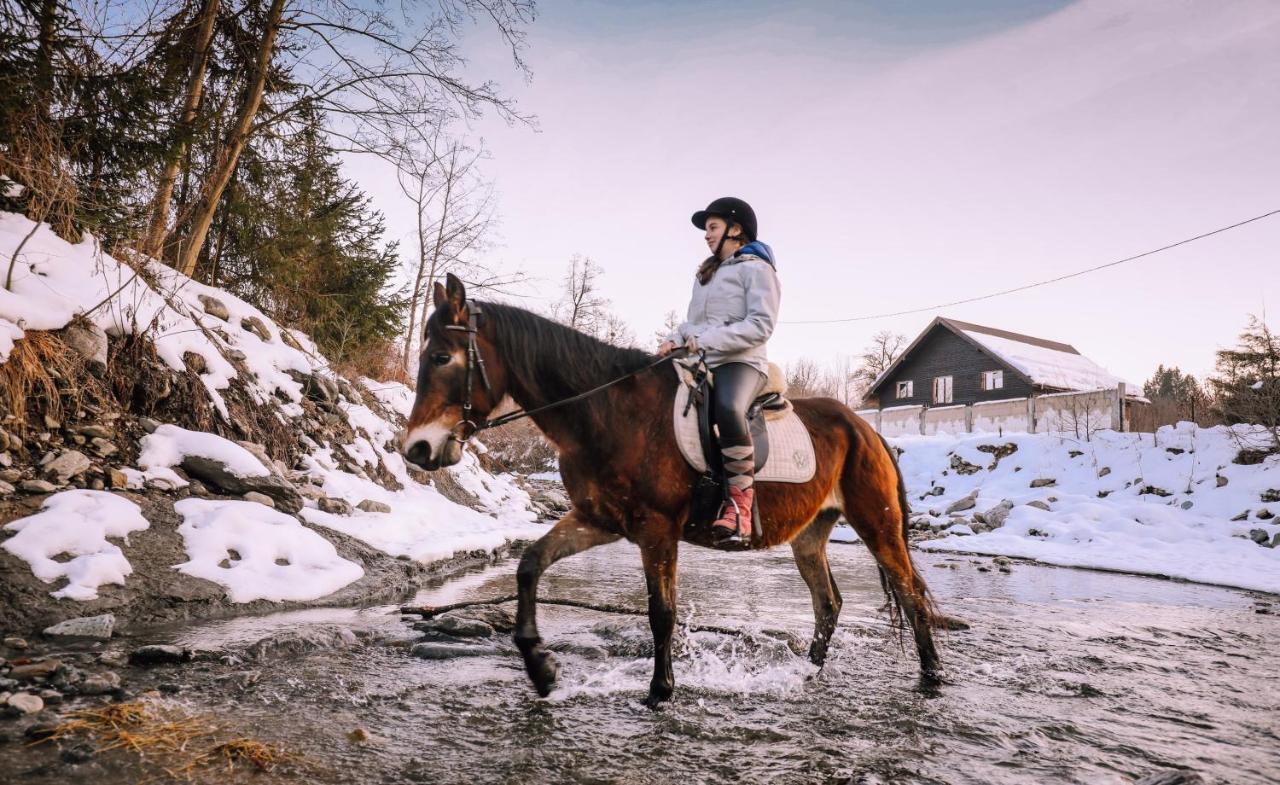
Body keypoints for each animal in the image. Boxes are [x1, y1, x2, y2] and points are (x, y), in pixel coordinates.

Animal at [404, 274, 947, 701]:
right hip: (811, 534)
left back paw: (932, 677)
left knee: (910, 595)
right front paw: (541, 668)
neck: (610, 414)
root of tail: (866, 429)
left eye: (443, 356)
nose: (417, 449)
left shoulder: (657, 529)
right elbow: (529, 565)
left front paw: (660, 691)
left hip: (877, 525)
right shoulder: (598, 520)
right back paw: (808, 674)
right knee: (828, 603)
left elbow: (662, 612)